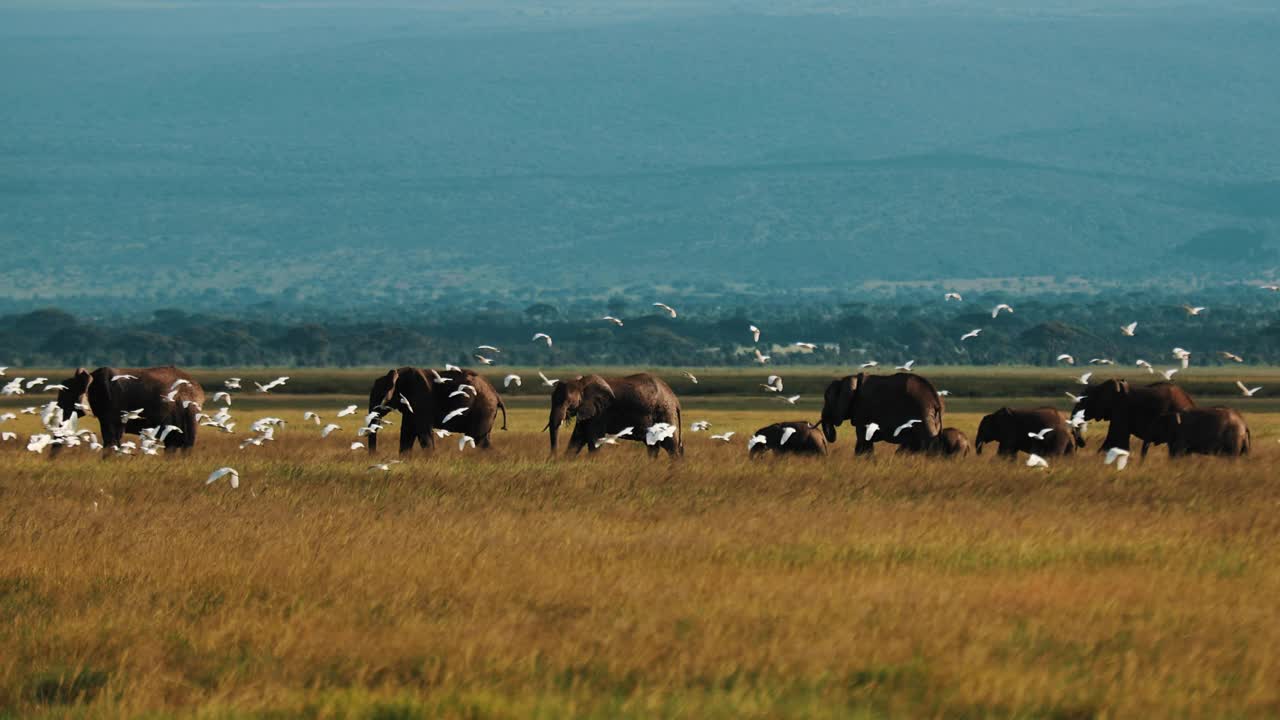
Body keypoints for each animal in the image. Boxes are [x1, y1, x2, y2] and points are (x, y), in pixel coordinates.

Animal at [55, 363, 203, 448]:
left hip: (189, 410)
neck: (91, 377)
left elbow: (112, 436)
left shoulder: (114, 404)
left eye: (67, 398)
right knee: (172, 443)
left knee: (185, 443)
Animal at [366, 363, 504, 453]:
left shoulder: (420, 399)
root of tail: (496, 394)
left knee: (478, 439)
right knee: (483, 439)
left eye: (381, 396)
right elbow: (407, 431)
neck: (399, 374)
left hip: (482, 409)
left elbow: (423, 431)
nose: (375, 455)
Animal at [547, 371, 686, 456]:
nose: (554, 458)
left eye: (568, 402)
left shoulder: (600, 413)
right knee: (653, 446)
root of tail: (675, 400)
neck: (581, 383)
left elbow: (594, 441)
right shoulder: (589, 411)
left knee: (671, 446)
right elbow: (577, 439)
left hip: (665, 413)